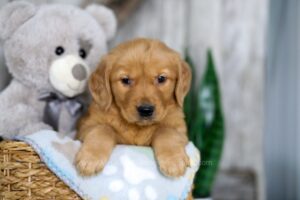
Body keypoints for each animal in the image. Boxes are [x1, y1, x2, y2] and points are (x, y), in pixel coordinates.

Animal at [76, 38, 191, 177]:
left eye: (161, 78)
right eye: (125, 80)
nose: (146, 110)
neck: (138, 127)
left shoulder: (181, 132)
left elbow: (166, 130)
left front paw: (173, 160)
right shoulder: (85, 127)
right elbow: (103, 129)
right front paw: (91, 158)